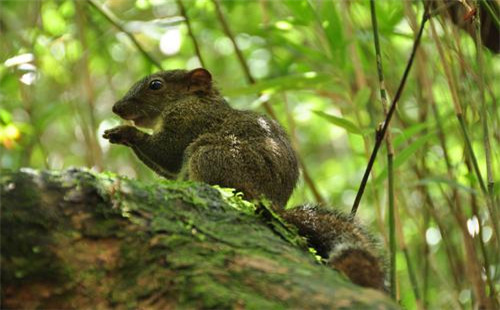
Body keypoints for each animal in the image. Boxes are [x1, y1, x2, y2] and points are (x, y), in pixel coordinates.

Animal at [102, 68, 386, 290]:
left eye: (156, 85)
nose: (116, 107)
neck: (196, 101)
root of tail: (271, 203)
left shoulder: (188, 121)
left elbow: (167, 151)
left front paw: (125, 132)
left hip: (210, 156)